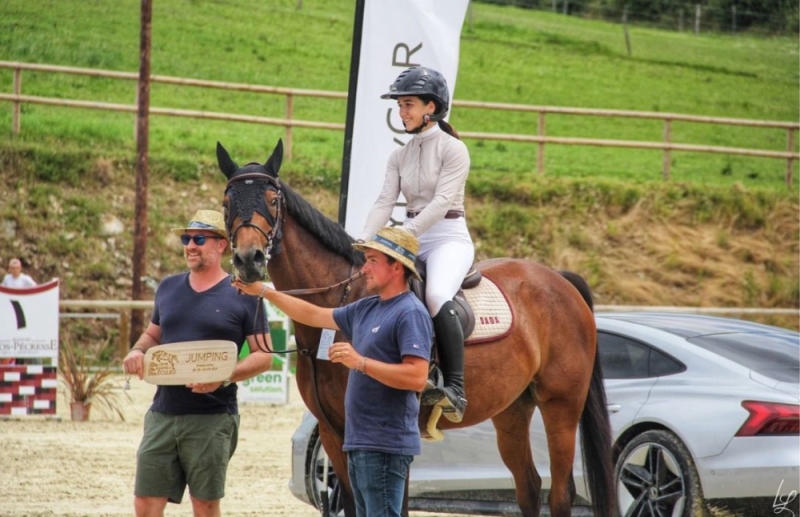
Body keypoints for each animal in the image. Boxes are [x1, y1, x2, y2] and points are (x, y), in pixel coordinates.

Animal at [216, 138, 616, 516]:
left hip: (561, 408)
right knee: (529, 489)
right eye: (226, 201)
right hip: (513, 411)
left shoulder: (390, 436)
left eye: (272, 199)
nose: (249, 261)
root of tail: (558, 279)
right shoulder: (334, 432)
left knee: (560, 495)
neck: (341, 300)